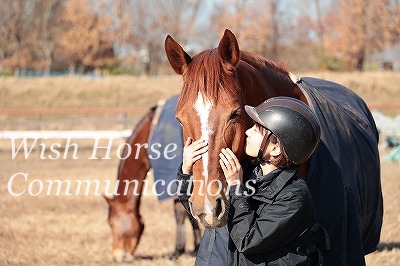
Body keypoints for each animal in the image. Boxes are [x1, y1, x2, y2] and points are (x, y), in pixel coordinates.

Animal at [104, 101, 200, 262]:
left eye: (111, 224)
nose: (118, 256)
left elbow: (183, 213)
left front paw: (193, 248)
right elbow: (181, 213)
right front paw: (180, 250)